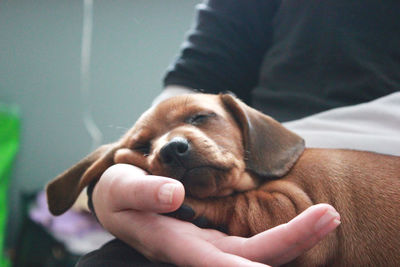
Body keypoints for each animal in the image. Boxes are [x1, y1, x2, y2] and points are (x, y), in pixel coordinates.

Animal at [47, 93, 400, 266]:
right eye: (142, 146)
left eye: (200, 117)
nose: (172, 149)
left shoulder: (289, 208)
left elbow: (234, 205)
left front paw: (193, 206)